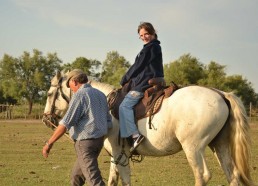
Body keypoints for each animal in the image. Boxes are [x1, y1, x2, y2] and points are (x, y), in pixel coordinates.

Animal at [42, 71, 254, 186]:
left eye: (50, 93)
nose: (45, 119)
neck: (105, 103)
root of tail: (221, 94)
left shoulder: (120, 153)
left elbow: (125, 179)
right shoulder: (117, 155)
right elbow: (113, 180)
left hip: (193, 148)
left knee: (202, 175)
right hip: (220, 146)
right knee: (233, 175)